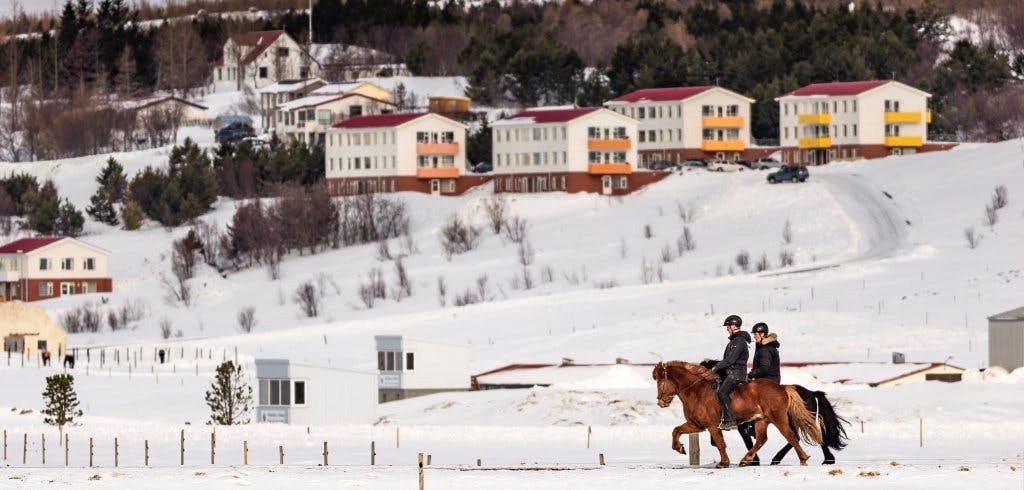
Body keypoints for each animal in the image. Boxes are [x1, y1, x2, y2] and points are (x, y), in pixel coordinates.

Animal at [651, 362, 819, 470]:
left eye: (660, 381)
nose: (661, 402)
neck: (696, 392)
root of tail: (781, 387)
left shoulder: (712, 426)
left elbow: (720, 443)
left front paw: (723, 463)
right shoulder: (697, 425)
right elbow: (676, 430)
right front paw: (680, 448)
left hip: (778, 418)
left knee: (790, 436)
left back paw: (803, 459)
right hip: (761, 420)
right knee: (762, 439)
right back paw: (745, 460)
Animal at [700, 358, 851, 466]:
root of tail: (811, 393)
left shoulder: (742, 426)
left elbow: (747, 441)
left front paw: (753, 460)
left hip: (789, 420)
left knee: (800, 436)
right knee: (806, 436)